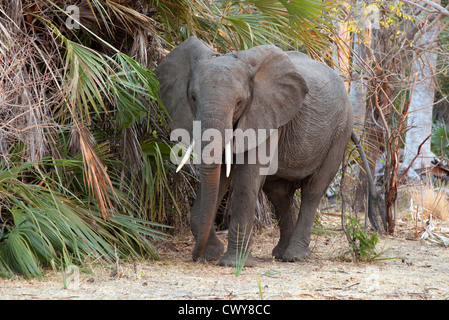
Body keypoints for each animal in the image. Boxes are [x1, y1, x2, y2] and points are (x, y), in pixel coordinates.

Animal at [154, 37, 382, 268]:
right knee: (279, 194)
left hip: (340, 131)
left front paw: (234, 263)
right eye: (192, 97)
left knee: (313, 189)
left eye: (240, 102)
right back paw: (281, 253)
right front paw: (212, 254)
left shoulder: (264, 116)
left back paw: (295, 256)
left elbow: (246, 180)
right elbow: (220, 178)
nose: (195, 256)